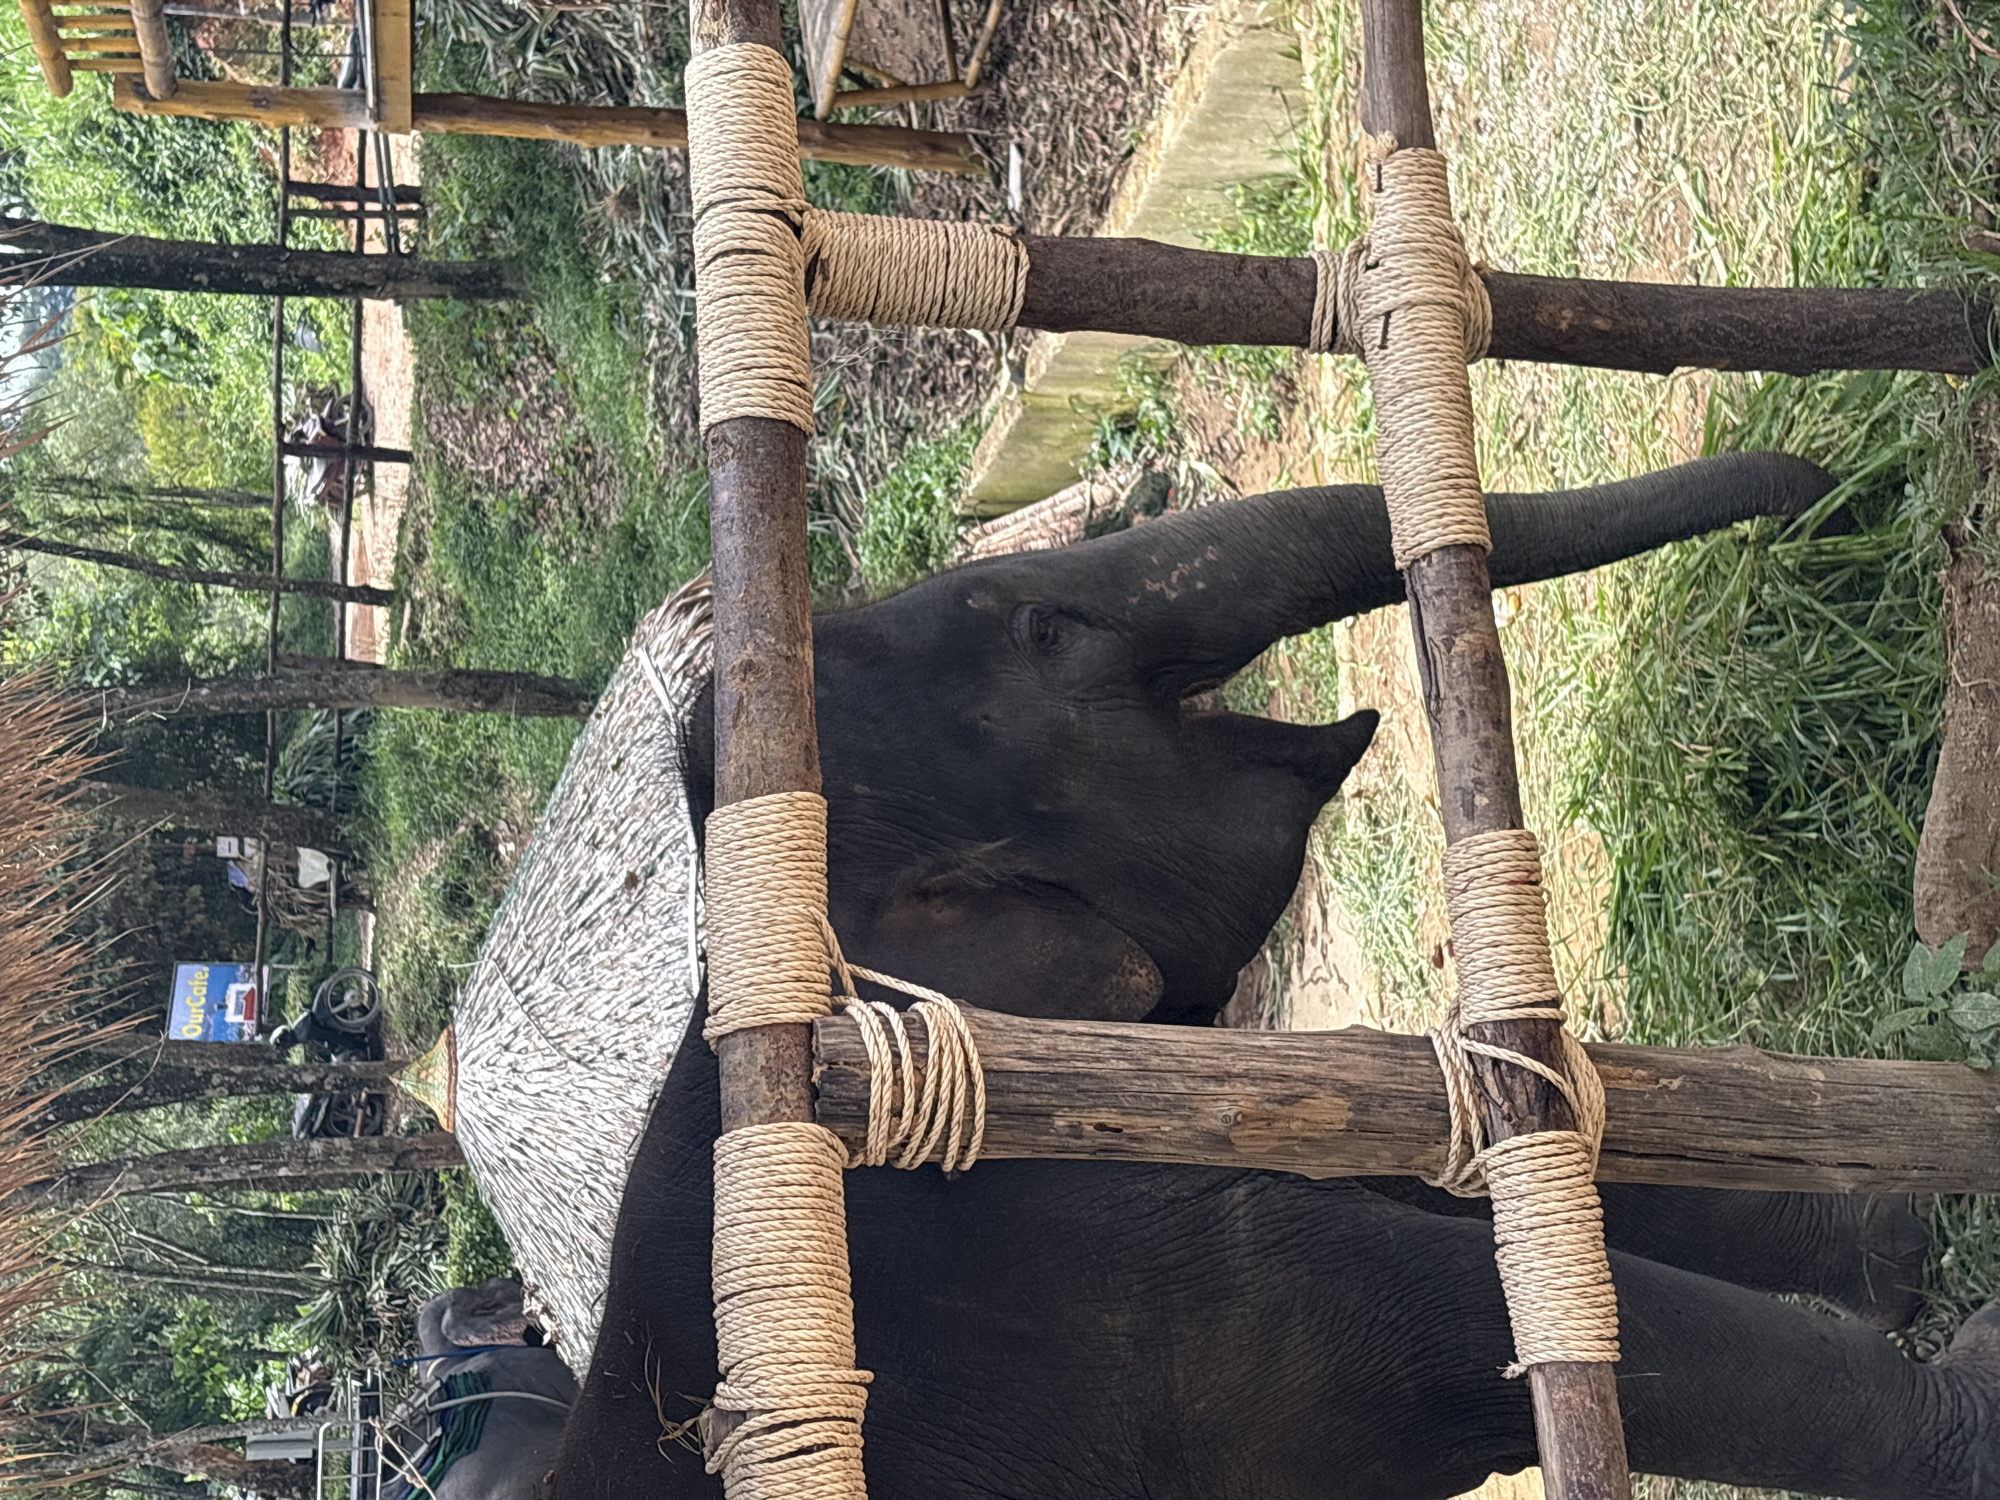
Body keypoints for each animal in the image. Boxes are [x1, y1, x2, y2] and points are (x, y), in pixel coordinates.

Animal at [547, 454, 2000, 1498]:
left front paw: (1906, 1247)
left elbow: (1464, 1145)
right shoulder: (1066, 1295)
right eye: (1047, 631)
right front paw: (1976, 1374)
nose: (1819, 487)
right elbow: (1450, 1317)